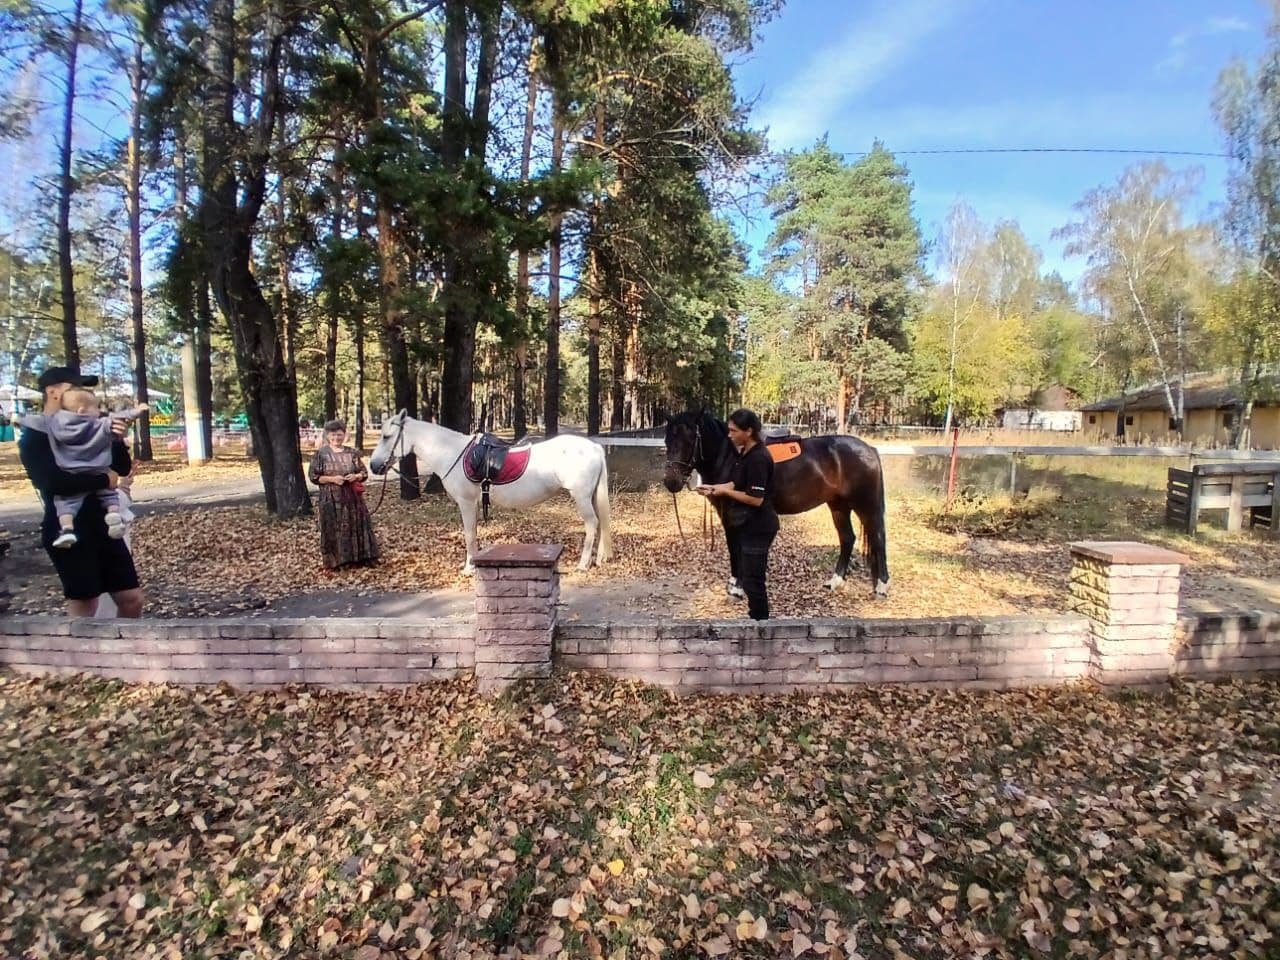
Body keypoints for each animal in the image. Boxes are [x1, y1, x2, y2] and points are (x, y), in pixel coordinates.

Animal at [368, 412, 614, 573]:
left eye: (387, 436)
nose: (373, 466)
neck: (452, 453)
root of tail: (594, 447)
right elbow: (474, 533)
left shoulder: (466, 502)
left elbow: (469, 534)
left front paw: (468, 568)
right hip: (591, 496)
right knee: (601, 522)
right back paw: (600, 558)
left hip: (581, 497)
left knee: (592, 524)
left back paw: (583, 564)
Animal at [662, 411, 889, 597]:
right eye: (667, 440)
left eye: (691, 439)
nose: (671, 482)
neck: (732, 457)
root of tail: (869, 449)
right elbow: (734, 549)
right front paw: (734, 583)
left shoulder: (734, 514)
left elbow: (736, 548)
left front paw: (737, 588)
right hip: (838, 506)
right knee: (847, 538)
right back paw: (835, 581)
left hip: (866, 506)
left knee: (878, 538)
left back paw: (882, 586)